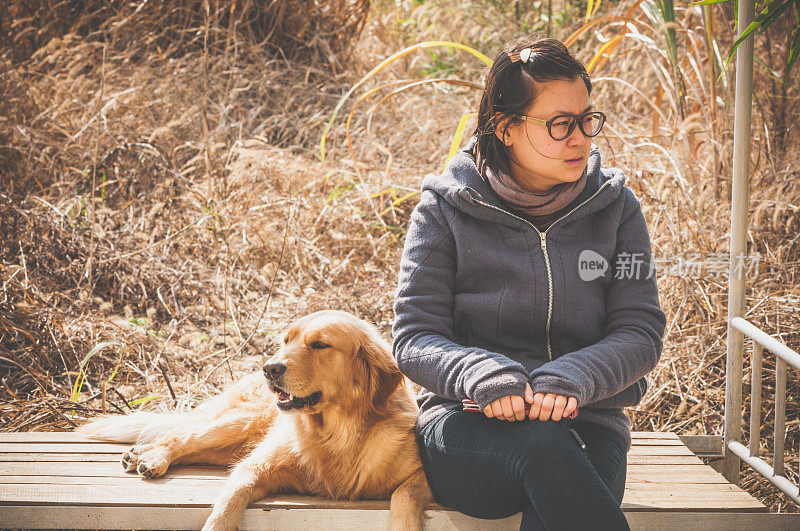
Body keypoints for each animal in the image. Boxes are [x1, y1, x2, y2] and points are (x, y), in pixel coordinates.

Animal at [76, 310, 432, 528]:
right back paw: (151, 457)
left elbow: (403, 497)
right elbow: (226, 506)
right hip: (239, 424)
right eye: (286, 340)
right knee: (181, 437)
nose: (270, 368)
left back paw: (140, 454)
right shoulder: (255, 467)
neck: (335, 434)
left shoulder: (423, 473)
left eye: (320, 344)